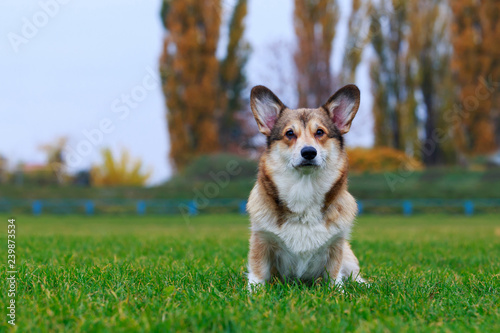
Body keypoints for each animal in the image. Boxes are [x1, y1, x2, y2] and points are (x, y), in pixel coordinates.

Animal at [245, 84, 364, 290]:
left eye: (320, 132)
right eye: (289, 133)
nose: (308, 152)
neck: (304, 188)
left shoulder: (336, 246)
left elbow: (335, 277)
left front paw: (338, 292)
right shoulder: (261, 239)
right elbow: (257, 273)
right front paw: (254, 293)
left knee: (355, 275)